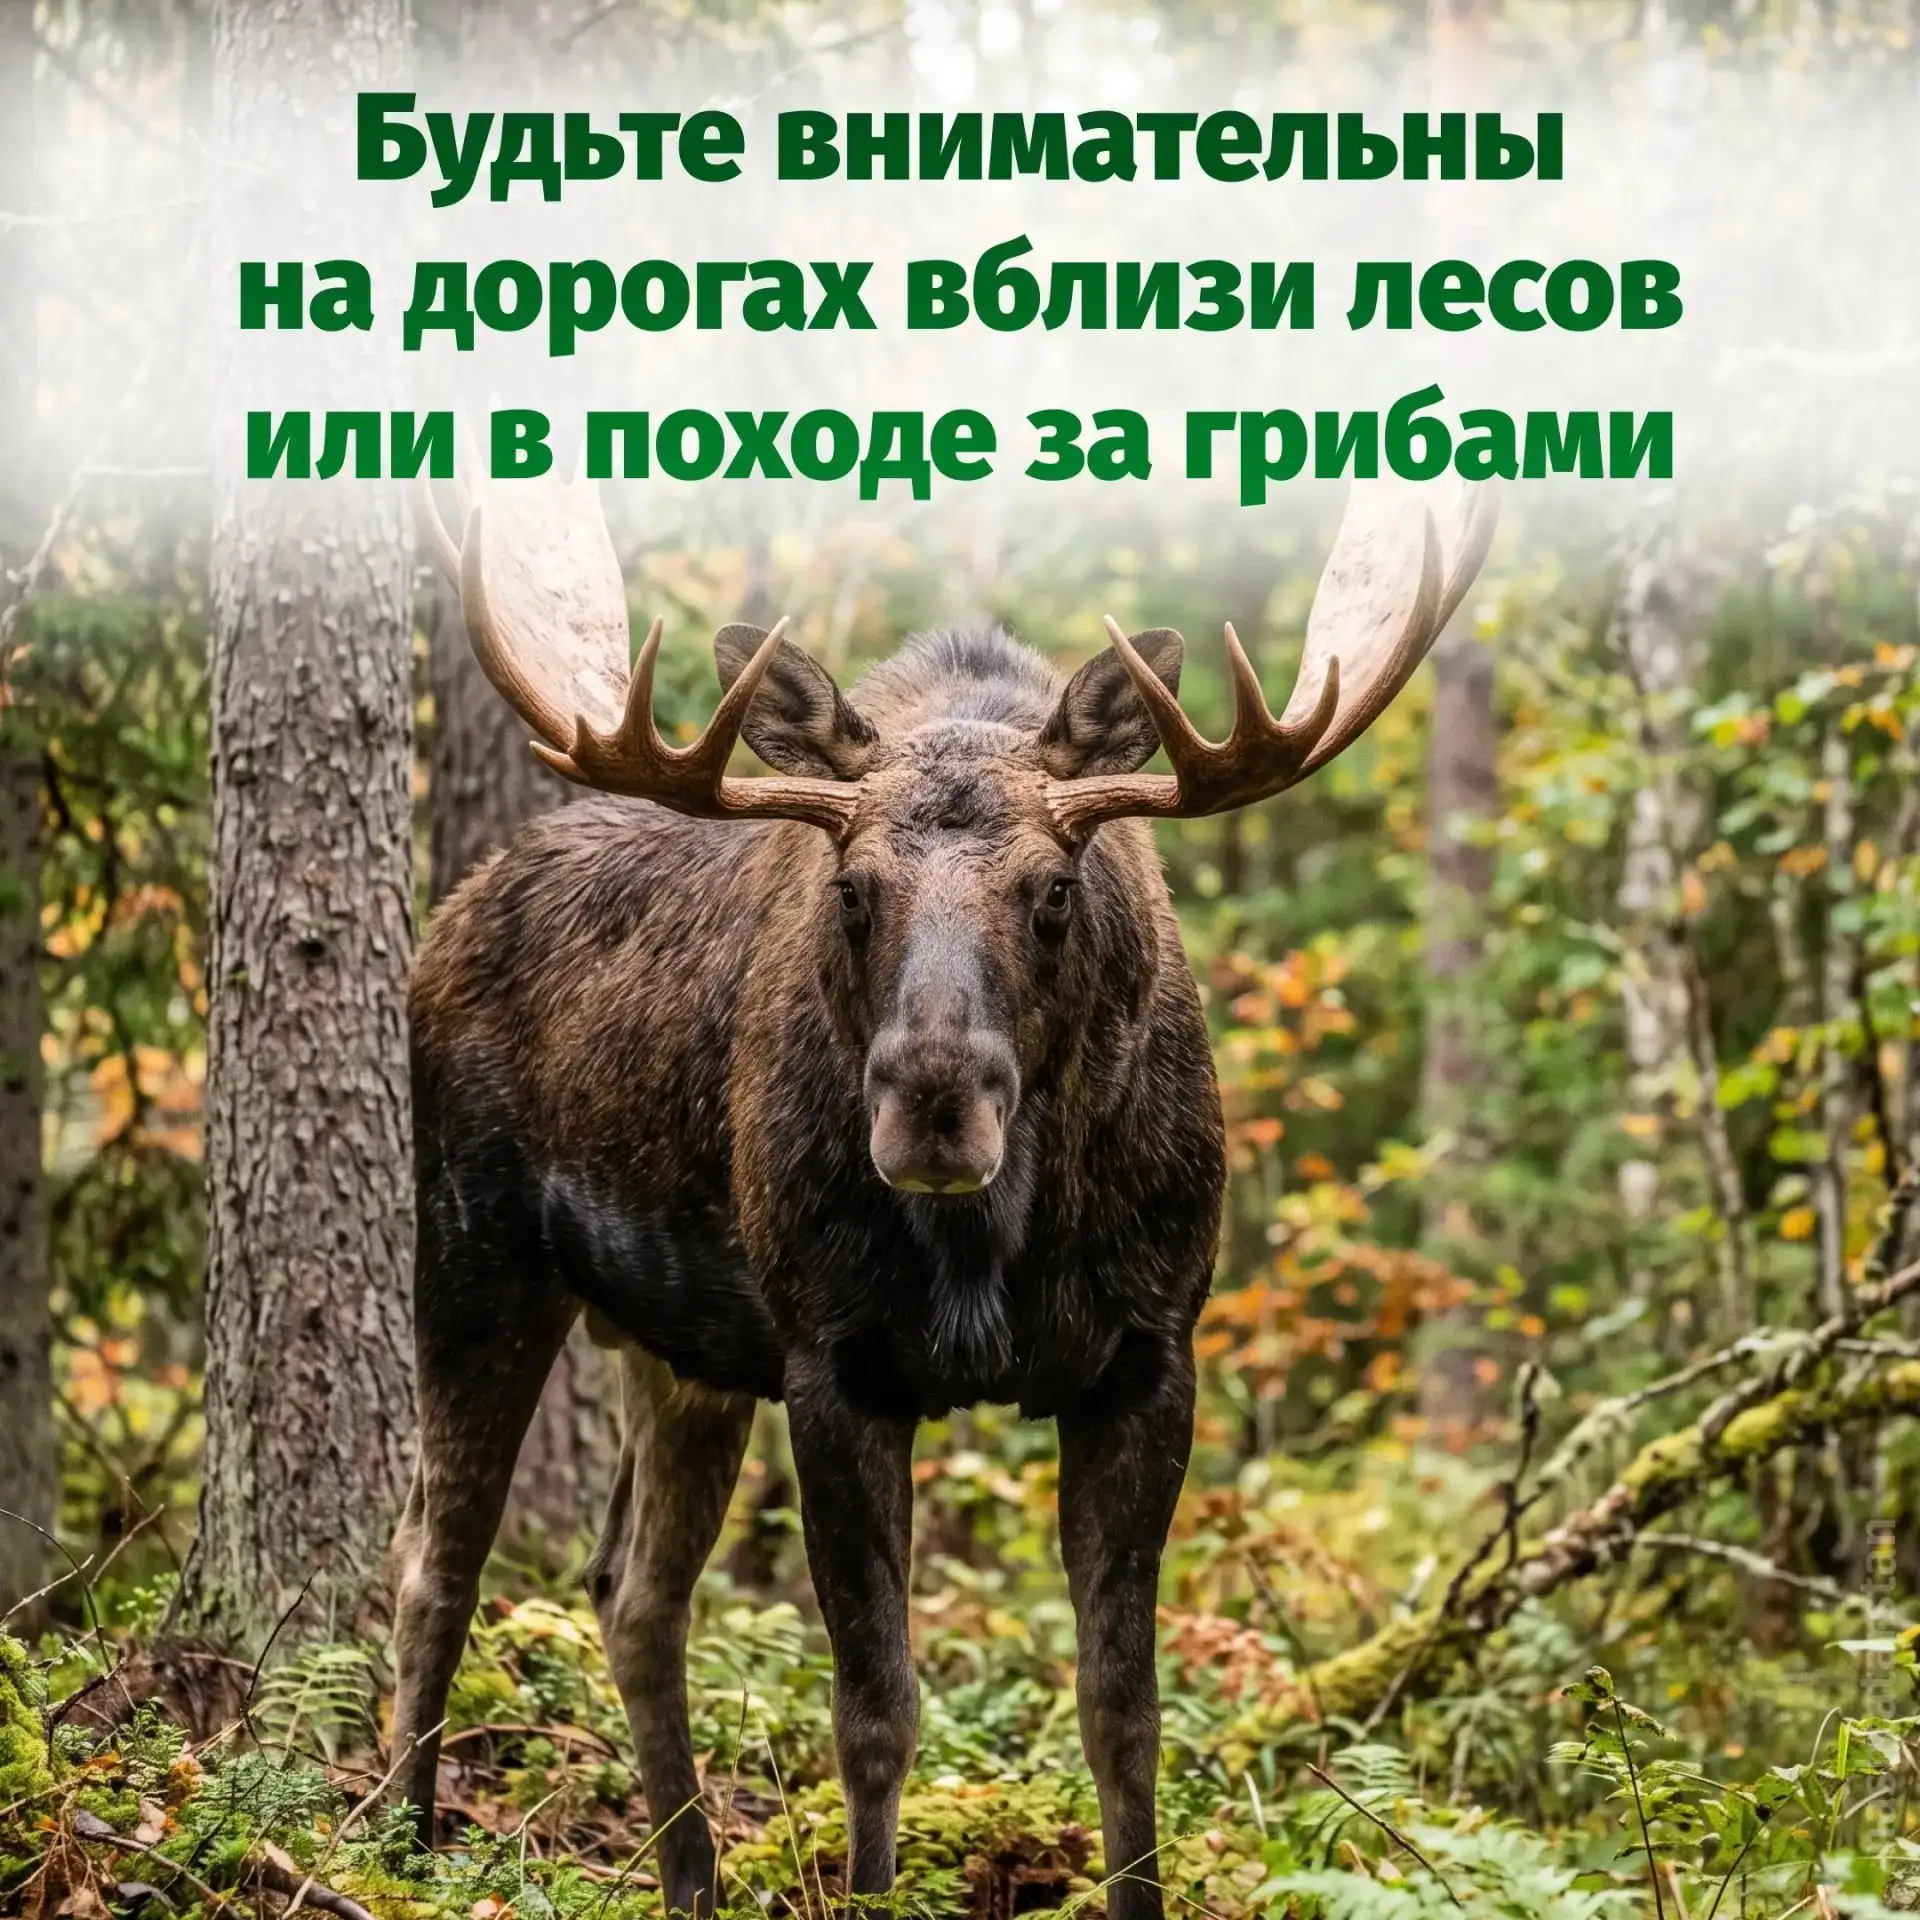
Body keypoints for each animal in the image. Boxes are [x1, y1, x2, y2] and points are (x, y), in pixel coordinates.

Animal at [391, 470, 1497, 1920]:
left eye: (1055, 890)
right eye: (852, 889)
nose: (931, 1093)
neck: (995, 1246)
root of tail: (447, 918)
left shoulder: (1152, 1354)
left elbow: (1123, 1707)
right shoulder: (834, 1358)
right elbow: (876, 1710)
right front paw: (870, 1887)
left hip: (682, 1352)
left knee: (632, 1593)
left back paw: (689, 1880)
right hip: (474, 1252)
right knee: (434, 1559)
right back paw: (394, 1843)